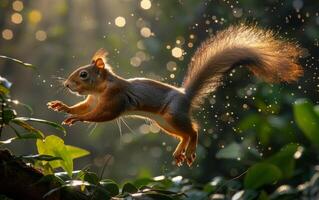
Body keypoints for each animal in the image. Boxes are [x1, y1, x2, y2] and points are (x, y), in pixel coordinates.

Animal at [47, 24, 304, 166]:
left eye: (83, 75)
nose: (67, 85)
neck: (101, 89)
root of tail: (186, 96)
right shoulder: (92, 100)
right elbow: (84, 107)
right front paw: (64, 107)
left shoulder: (115, 99)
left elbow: (101, 115)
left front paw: (78, 118)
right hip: (164, 123)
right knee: (185, 134)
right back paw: (181, 151)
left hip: (173, 115)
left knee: (194, 130)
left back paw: (189, 151)